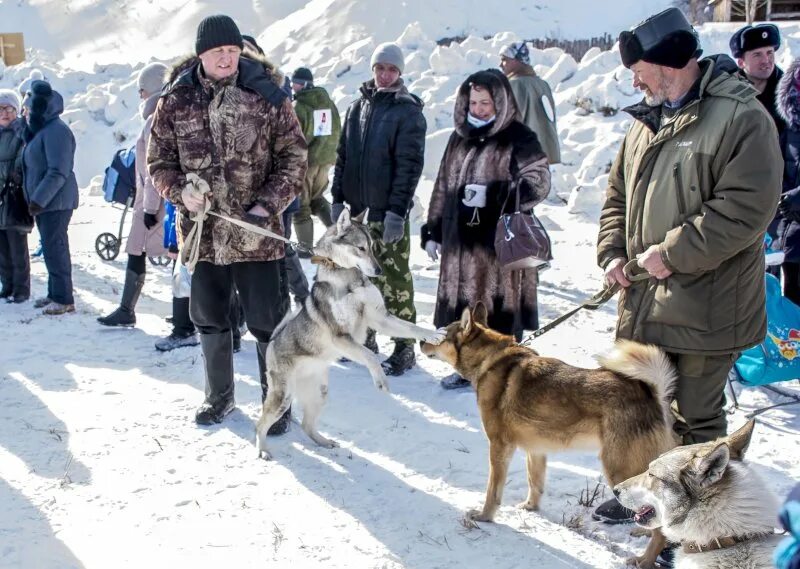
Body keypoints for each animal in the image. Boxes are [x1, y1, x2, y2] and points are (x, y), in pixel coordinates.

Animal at [256, 206, 444, 460]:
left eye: (373, 247)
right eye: (360, 248)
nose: (379, 270)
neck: (348, 277)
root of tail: (274, 341)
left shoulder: (380, 318)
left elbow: (410, 328)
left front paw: (433, 334)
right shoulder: (341, 336)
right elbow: (370, 355)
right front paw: (380, 380)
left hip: (319, 393)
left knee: (306, 425)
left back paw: (323, 442)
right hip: (283, 397)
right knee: (260, 424)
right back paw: (262, 450)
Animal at [422, 304, 680, 564]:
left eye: (440, 335)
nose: (421, 342)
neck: (489, 360)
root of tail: (651, 394)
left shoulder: (499, 446)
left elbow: (492, 491)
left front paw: (485, 516)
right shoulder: (535, 450)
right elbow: (535, 483)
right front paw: (530, 507)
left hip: (619, 468)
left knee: (661, 530)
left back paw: (644, 560)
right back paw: (640, 530)